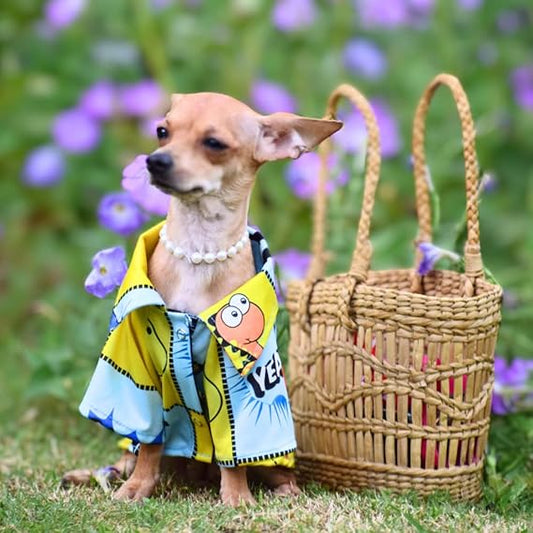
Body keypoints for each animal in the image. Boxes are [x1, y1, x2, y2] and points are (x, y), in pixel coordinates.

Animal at [65, 92, 340, 508]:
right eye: (162, 131)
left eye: (214, 144)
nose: (155, 160)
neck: (199, 249)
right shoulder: (147, 376)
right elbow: (150, 443)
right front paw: (138, 487)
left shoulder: (233, 373)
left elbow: (235, 451)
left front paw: (237, 496)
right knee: (128, 458)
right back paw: (101, 475)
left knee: (273, 468)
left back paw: (285, 488)